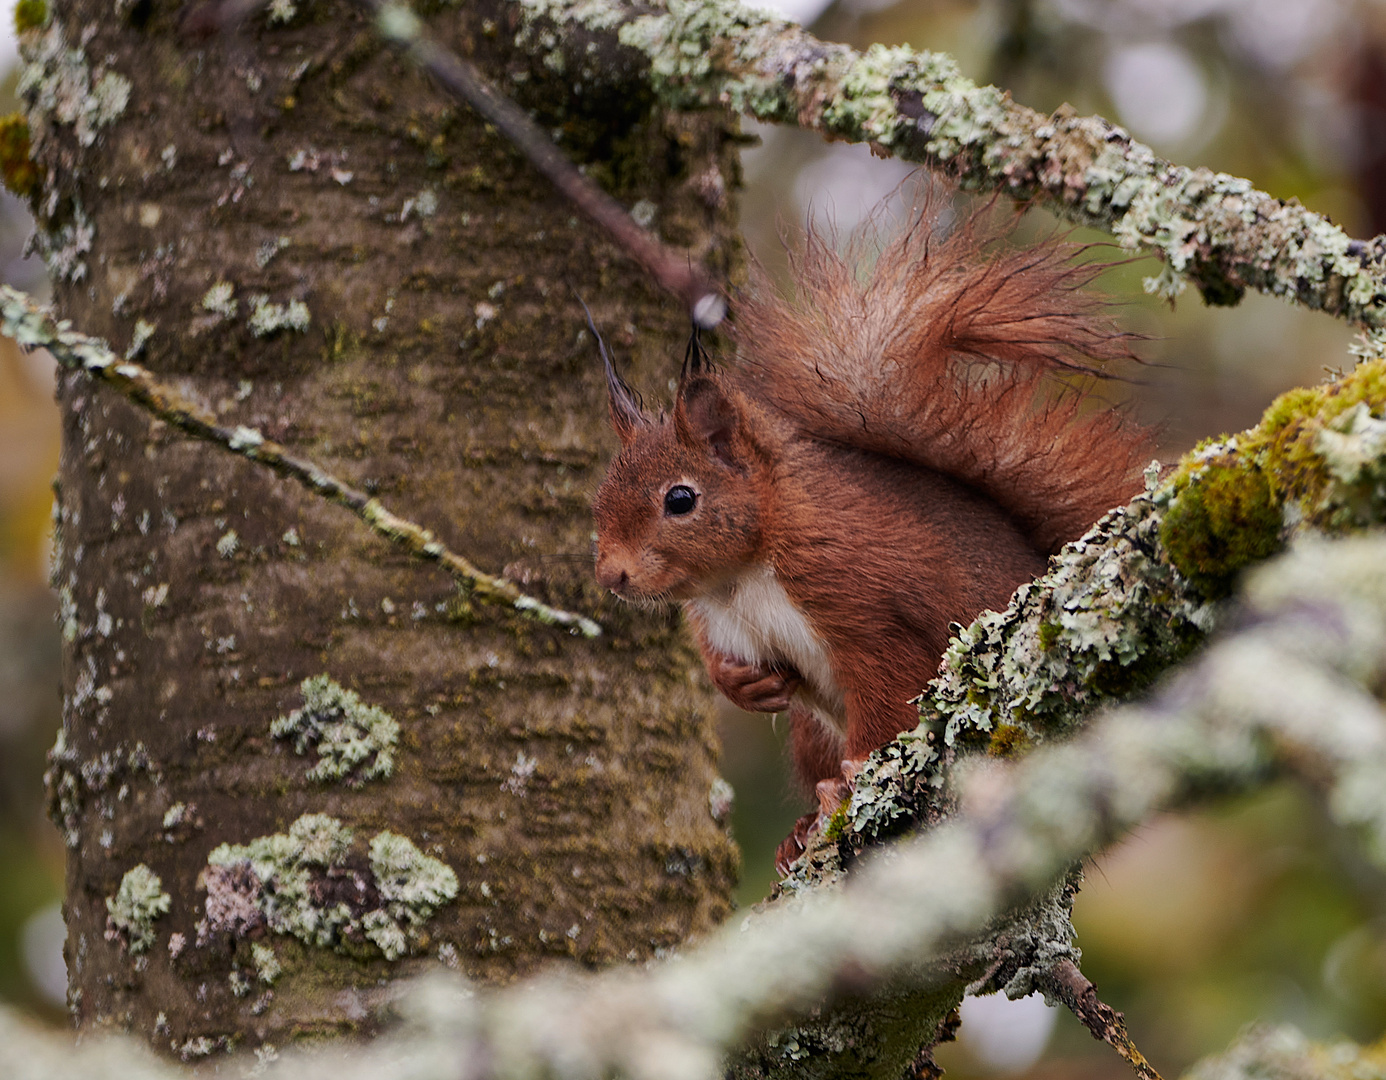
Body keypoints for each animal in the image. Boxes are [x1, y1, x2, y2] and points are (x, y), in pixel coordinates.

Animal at [590, 202, 1153, 876]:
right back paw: (797, 832)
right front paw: (742, 684)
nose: (611, 575)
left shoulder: (861, 600)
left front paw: (852, 777)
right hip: (810, 732)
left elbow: (887, 688)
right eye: (598, 497)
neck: (739, 580)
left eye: (680, 500)